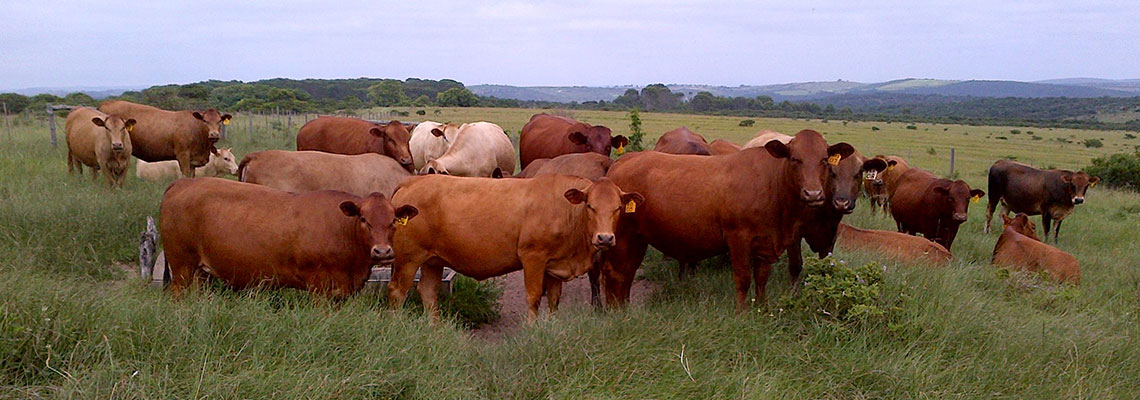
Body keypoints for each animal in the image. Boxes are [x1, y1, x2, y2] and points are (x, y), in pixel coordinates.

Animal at [99, 100, 230, 176]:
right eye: (205, 121)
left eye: (219, 121)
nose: (214, 134)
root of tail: (107, 103)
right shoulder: (183, 155)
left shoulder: (193, 160)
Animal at [155, 177, 414, 298]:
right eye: (363, 219)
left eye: (393, 220)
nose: (382, 251)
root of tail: (183, 182)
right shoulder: (320, 287)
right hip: (181, 266)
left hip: (199, 271)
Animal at [389, 175, 642, 323]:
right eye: (590, 206)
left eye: (618, 208)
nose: (605, 238)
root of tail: (411, 181)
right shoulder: (533, 258)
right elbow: (534, 297)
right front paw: (533, 330)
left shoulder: (555, 266)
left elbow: (554, 299)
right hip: (407, 258)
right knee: (397, 291)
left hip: (433, 260)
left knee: (428, 292)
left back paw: (437, 328)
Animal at [601, 129, 852, 307]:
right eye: (794, 159)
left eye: (824, 161)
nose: (813, 194)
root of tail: (623, 161)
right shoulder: (738, 238)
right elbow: (743, 278)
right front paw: (742, 313)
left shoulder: (766, 243)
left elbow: (762, 279)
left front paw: (763, 308)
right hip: (621, 238)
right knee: (616, 272)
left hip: (637, 238)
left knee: (627, 272)